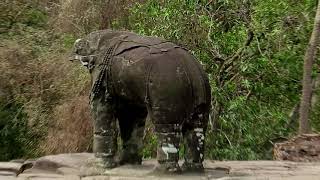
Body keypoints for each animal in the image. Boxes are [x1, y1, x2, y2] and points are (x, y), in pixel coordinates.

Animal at [72, 29, 211, 173]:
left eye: (81, 47)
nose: (75, 45)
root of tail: (192, 71)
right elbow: (130, 115)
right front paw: (128, 163)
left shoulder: (102, 72)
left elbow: (101, 106)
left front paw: (101, 165)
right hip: (203, 93)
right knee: (197, 127)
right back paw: (193, 168)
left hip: (167, 90)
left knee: (167, 126)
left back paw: (164, 171)